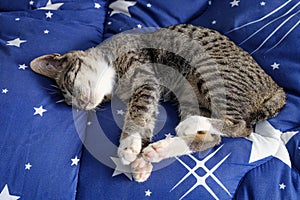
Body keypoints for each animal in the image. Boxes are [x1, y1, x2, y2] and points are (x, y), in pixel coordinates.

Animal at [29, 24, 286, 182]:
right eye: (69, 103)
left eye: (69, 82)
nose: (81, 105)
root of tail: (277, 88)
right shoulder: (149, 89)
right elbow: (147, 116)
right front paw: (139, 159)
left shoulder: (145, 78)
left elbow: (138, 110)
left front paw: (127, 145)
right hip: (189, 94)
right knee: (211, 139)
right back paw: (159, 150)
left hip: (211, 70)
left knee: (240, 126)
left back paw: (189, 126)